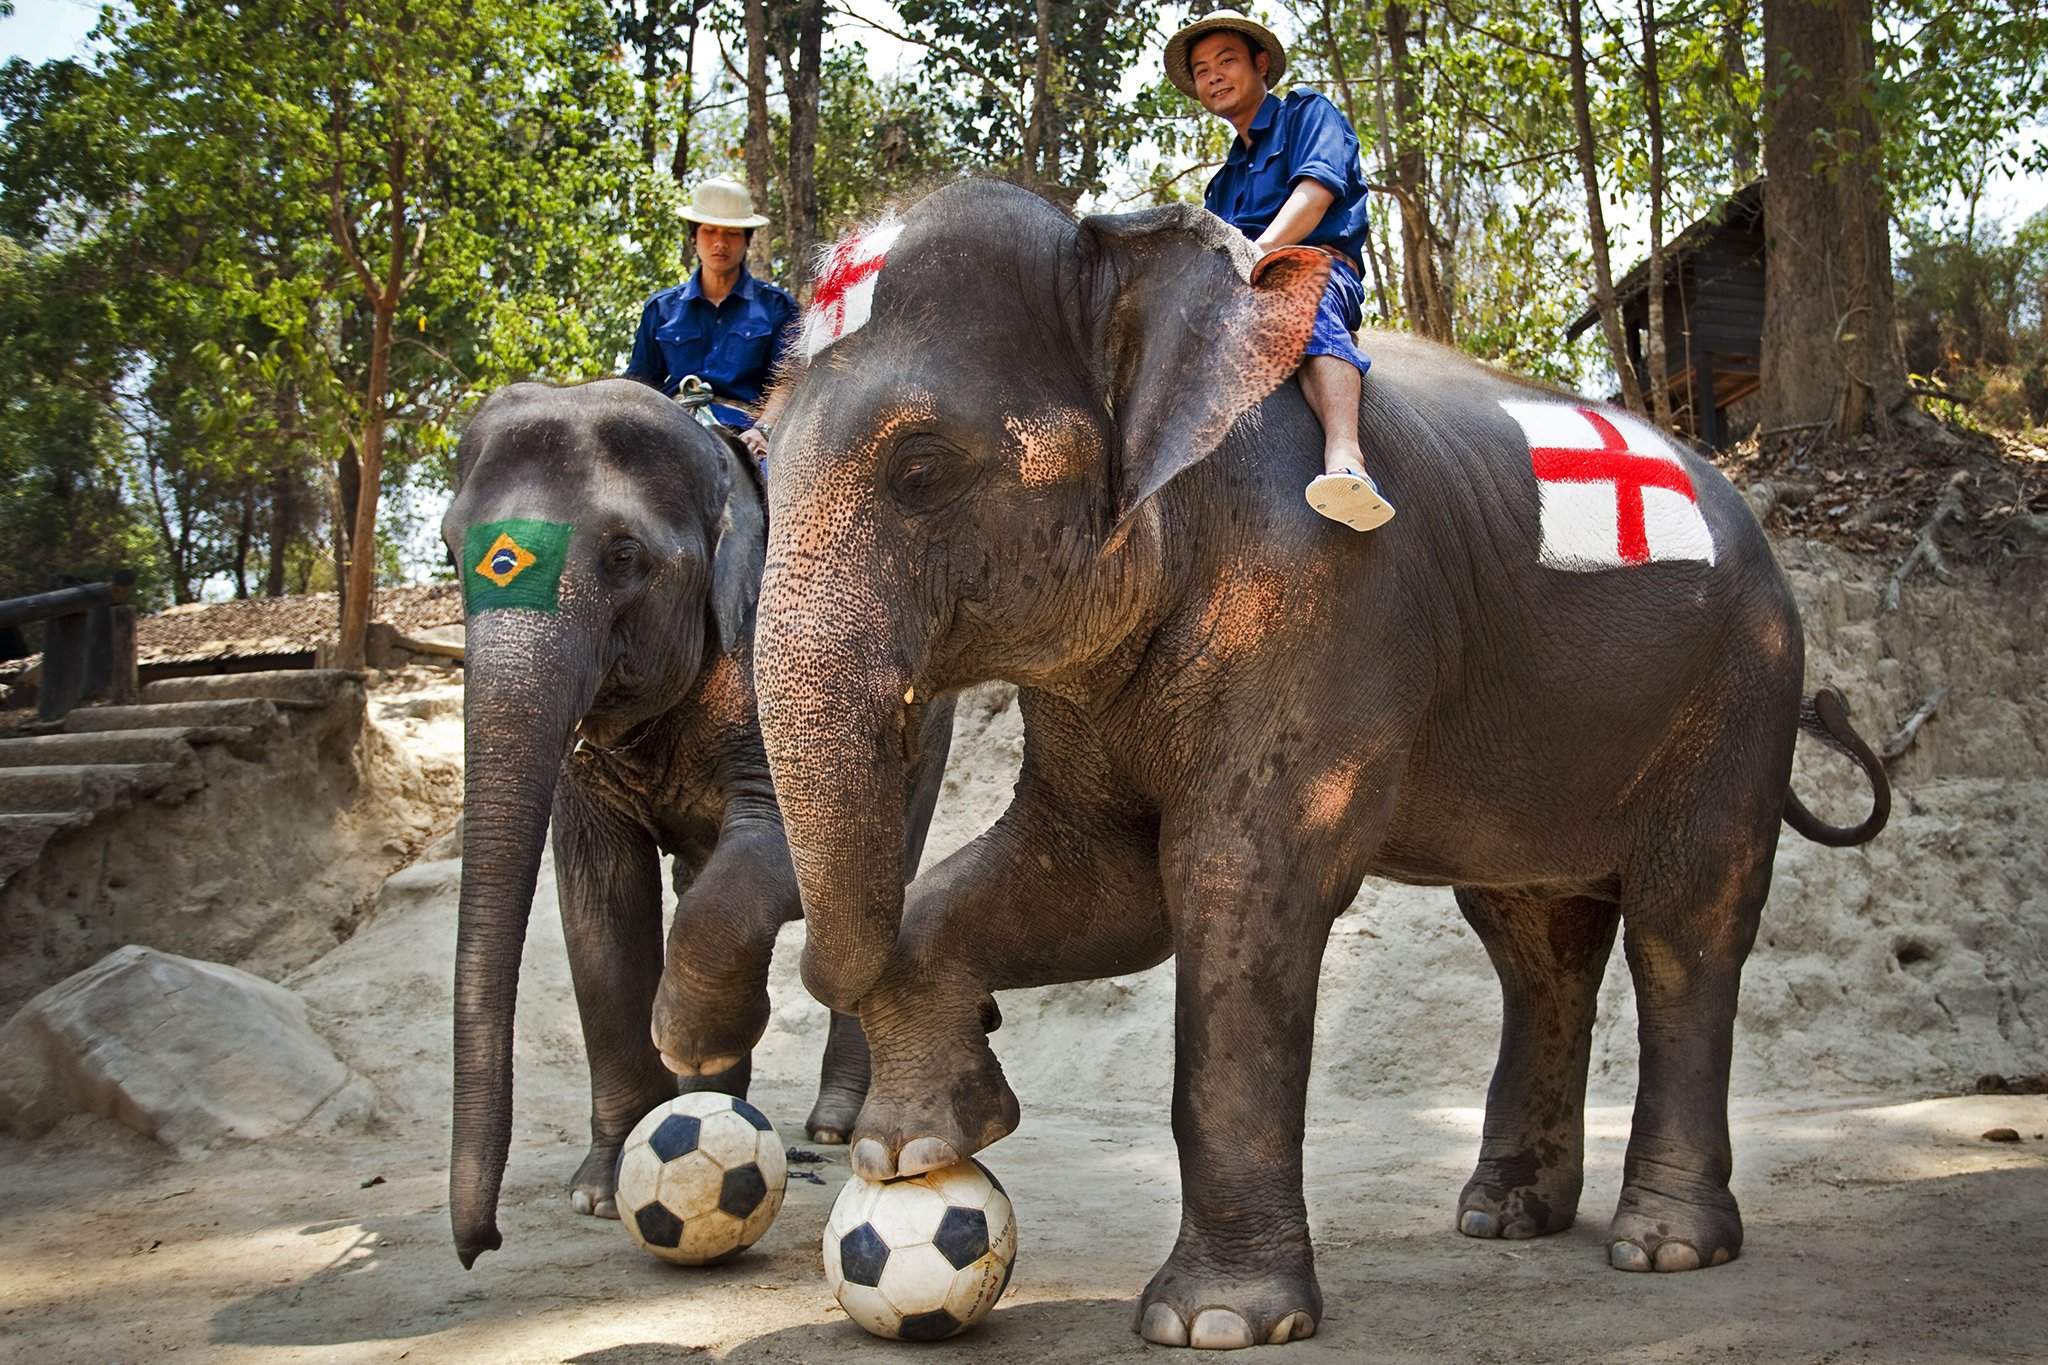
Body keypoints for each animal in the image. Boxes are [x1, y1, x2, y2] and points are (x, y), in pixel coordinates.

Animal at [442, 376, 950, 1268]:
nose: (480, 1246)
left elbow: (782, 855)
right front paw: (602, 1188)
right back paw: (718, 1101)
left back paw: (834, 1122)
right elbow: (599, 902)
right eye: (447, 553)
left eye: (623, 557)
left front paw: (695, 1037)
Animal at [745, 187, 1892, 1350]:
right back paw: (1503, 1214)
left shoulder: (1322, 598)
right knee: (1537, 944)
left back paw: (1664, 1246)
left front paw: (1213, 1323)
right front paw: (917, 1146)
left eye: (922, 469)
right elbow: (1100, 884)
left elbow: (1232, 887)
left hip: (1738, 691)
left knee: (1683, 928)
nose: (983, 1026)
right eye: (757, 453)